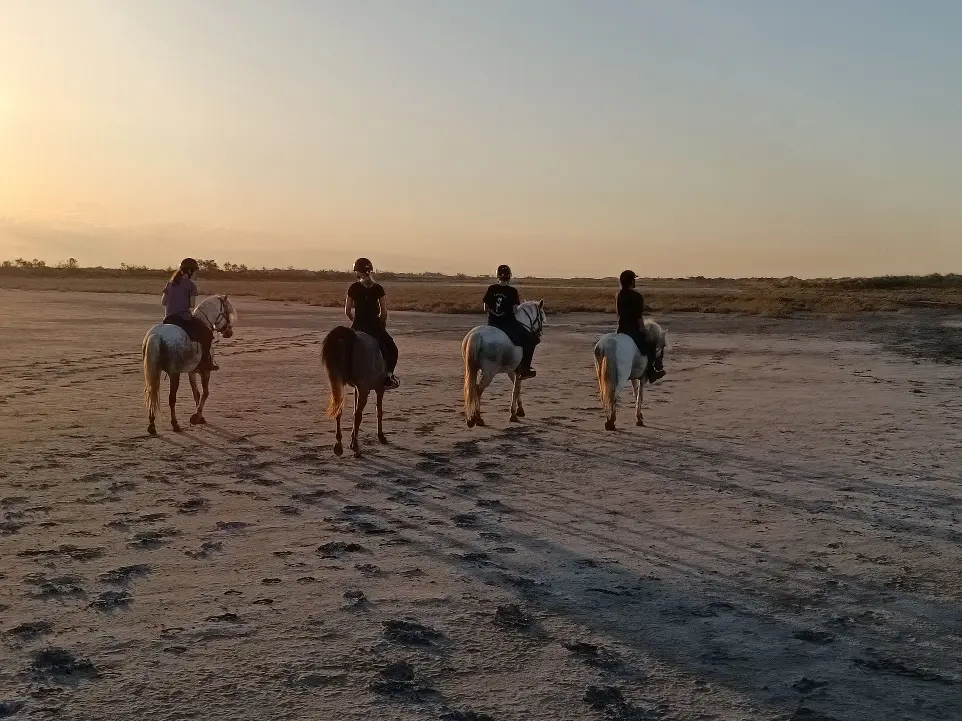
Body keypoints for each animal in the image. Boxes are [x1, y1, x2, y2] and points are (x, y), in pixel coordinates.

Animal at [142, 292, 237, 434]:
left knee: (152, 392)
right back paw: (175, 424)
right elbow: (205, 392)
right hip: (174, 374)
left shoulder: (192, 371)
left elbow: (196, 393)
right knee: (171, 398)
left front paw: (200, 416)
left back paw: (152, 425)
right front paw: (197, 416)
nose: (229, 332)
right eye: (227, 311)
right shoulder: (205, 371)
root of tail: (156, 335)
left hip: (154, 371)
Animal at [318, 324, 386, 456]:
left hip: (337, 381)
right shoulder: (378, 388)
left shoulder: (356, 388)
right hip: (363, 387)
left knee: (339, 408)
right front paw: (381, 435)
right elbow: (378, 410)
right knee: (358, 415)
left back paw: (339, 444)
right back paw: (355, 446)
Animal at [462, 300, 544, 428]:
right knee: (478, 389)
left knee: (472, 388)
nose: (539, 334)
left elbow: (517, 387)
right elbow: (516, 388)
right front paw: (514, 414)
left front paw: (519, 410)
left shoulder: (512, 371)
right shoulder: (519, 370)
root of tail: (476, 335)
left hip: (472, 369)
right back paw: (478, 418)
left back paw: (471, 419)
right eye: (541, 315)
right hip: (489, 372)